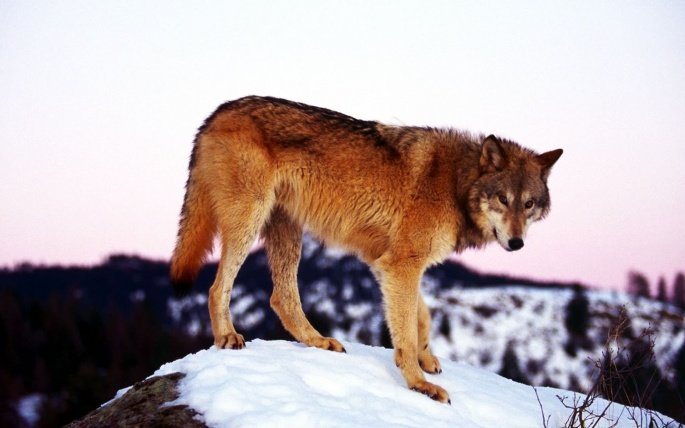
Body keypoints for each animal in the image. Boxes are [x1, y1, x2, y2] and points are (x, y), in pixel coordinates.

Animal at [170, 96, 562, 403]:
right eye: (503, 199)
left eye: (528, 204)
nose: (516, 242)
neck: (456, 183)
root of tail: (217, 112)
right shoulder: (401, 265)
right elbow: (406, 329)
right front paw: (418, 384)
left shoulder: (386, 263)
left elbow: (421, 316)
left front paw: (425, 360)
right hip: (249, 222)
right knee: (216, 288)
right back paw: (227, 337)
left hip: (287, 231)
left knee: (281, 298)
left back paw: (319, 341)